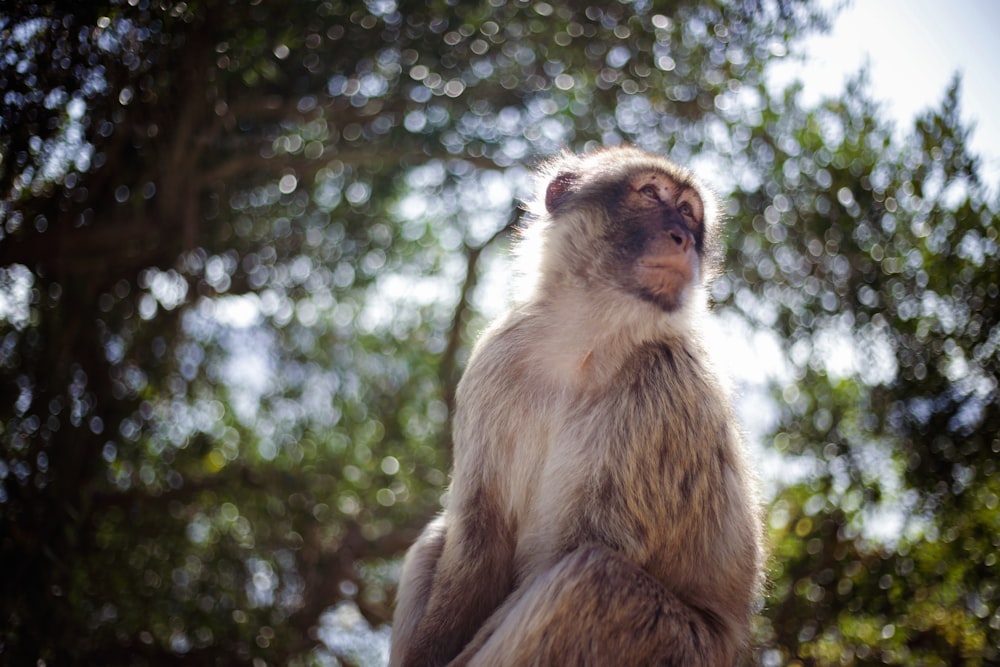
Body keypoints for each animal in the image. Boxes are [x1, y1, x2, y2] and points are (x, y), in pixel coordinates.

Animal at [390, 147, 764, 667]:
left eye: (689, 212)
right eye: (652, 194)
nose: (684, 237)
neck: (585, 340)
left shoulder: (665, 387)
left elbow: (572, 551)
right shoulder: (494, 361)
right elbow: (479, 538)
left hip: (674, 645)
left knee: (592, 578)